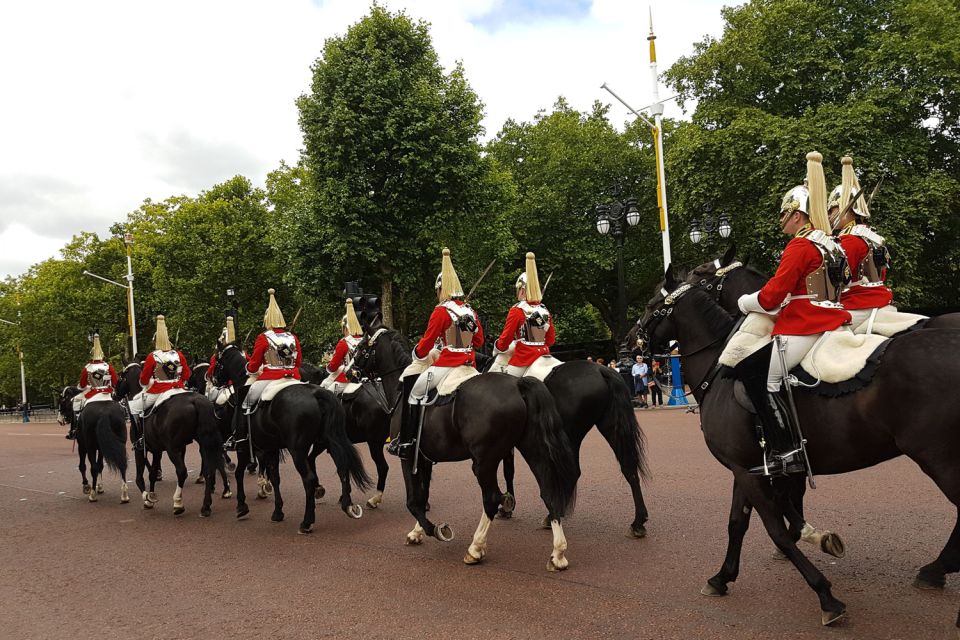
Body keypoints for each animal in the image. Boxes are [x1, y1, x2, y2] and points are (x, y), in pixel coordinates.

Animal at [114, 362, 223, 516]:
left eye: (120, 376)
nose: (114, 394)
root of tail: (196, 401)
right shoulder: (157, 450)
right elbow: (152, 473)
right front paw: (151, 496)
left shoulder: (140, 450)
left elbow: (139, 478)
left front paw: (147, 498)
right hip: (204, 444)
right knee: (208, 470)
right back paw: (205, 506)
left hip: (172, 449)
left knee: (182, 471)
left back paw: (178, 503)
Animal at [214, 342, 372, 532]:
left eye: (217, 361)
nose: (213, 380)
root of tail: (316, 393)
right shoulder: (271, 447)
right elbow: (275, 477)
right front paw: (277, 512)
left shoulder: (244, 446)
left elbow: (239, 473)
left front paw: (242, 506)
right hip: (329, 440)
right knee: (342, 467)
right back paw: (347, 505)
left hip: (297, 450)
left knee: (309, 479)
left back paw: (307, 521)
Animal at [350, 324, 576, 568]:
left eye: (361, 347)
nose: (350, 371)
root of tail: (517, 384)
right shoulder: (424, 458)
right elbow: (423, 496)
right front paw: (417, 532)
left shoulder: (407, 456)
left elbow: (412, 501)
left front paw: (435, 529)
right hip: (531, 449)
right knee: (548, 491)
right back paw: (558, 553)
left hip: (484, 462)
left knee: (492, 498)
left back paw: (475, 548)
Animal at [632, 264, 960, 624]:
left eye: (650, 305)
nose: (626, 345)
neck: (722, 369)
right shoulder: (749, 468)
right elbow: (738, 523)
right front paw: (723, 577)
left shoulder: (750, 470)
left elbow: (774, 526)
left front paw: (825, 593)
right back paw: (936, 569)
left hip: (939, 459)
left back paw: (935, 570)